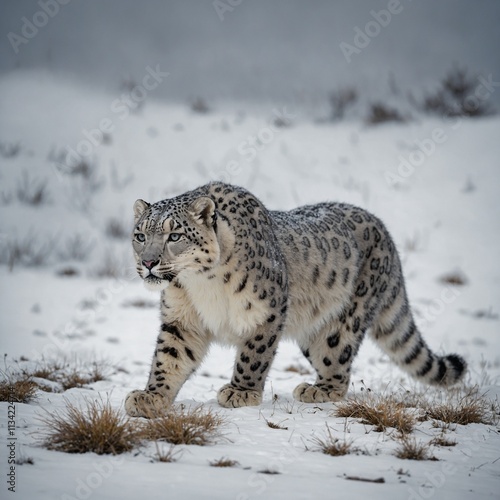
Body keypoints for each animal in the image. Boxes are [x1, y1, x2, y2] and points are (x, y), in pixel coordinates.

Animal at [124, 182, 464, 416]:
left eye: (175, 236)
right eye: (140, 235)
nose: (149, 262)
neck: (201, 285)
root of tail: (385, 231)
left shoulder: (266, 311)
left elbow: (253, 356)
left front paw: (240, 392)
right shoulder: (181, 320)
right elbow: (169, 357)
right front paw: (151, 396)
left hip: (342, 324)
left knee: (338, 364)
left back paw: (319, 390)